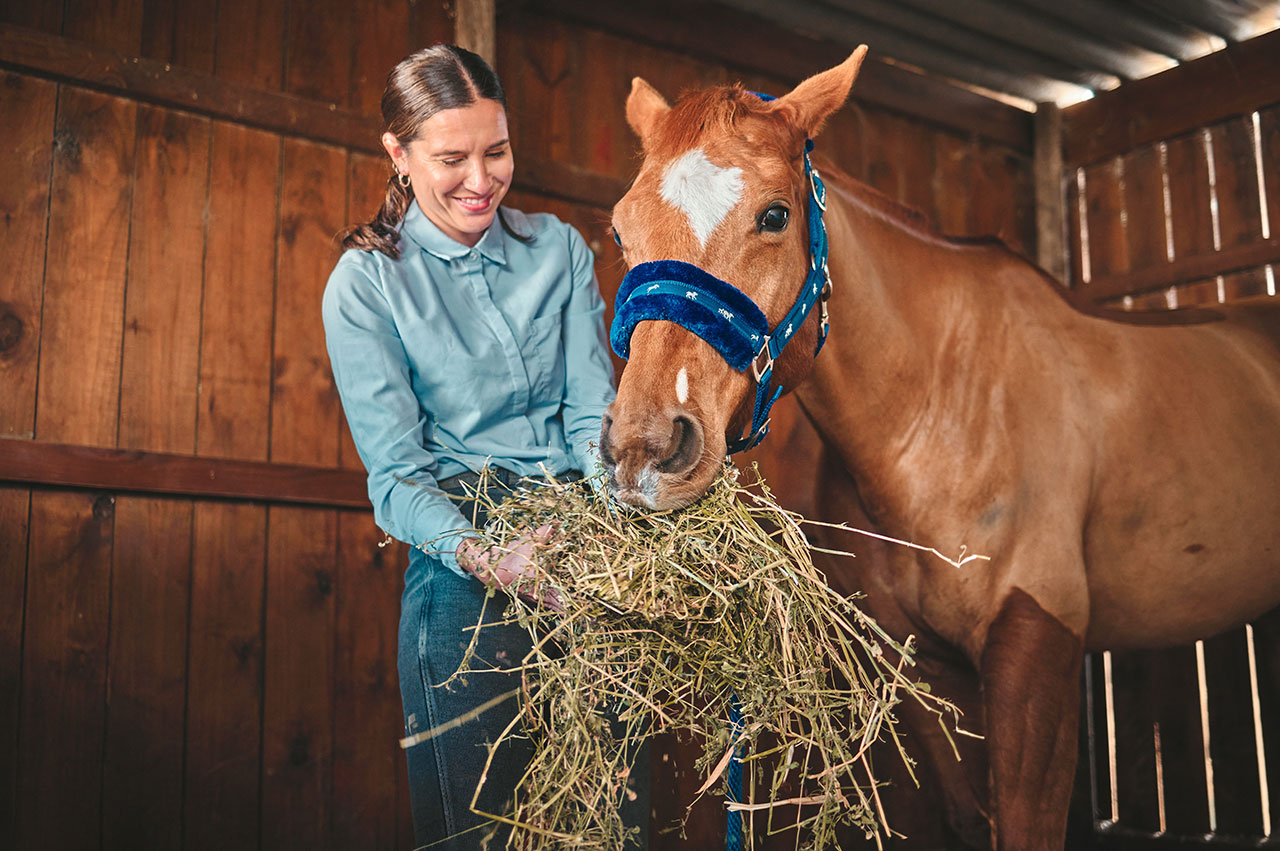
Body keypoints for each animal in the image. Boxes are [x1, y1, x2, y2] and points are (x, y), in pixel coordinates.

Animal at [598, 47, 1280, 849]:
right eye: (621, 230)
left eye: (774, 215)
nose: (645, 448)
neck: (940, 406)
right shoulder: (924, 667)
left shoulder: (1037, 648)